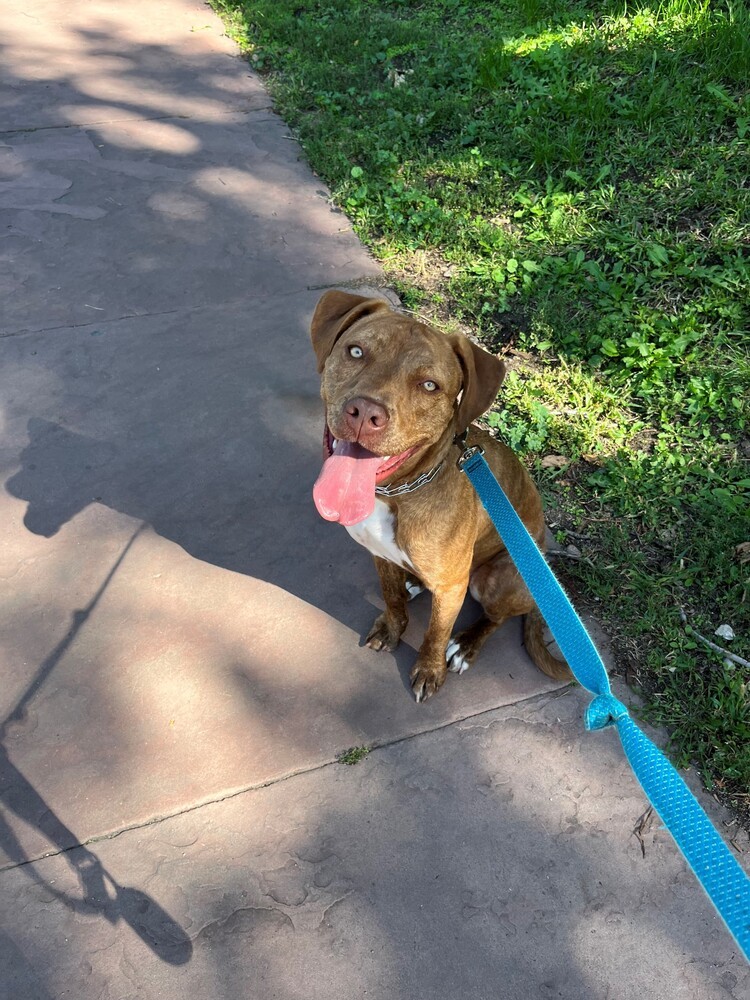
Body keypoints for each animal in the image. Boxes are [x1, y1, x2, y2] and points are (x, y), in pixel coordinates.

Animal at [310, 288, 568, 704]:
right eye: (356, 351)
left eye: (430, 385)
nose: (364, 412)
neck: (399, 493)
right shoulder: (379, 556)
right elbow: (392, 599)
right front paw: (392, 628)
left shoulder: (452, 588)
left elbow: (435, 633)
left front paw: (430, 670)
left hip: (498, 578)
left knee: (496, 617)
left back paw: (466, 644)